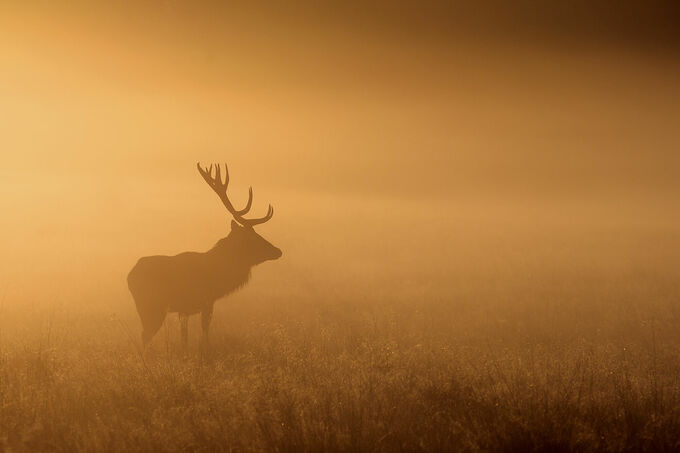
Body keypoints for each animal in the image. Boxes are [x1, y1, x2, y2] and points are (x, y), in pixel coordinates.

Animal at [127, 163, 282, 348]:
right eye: (252, 238)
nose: (278, 251)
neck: (217, 274)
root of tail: (129, 277)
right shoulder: (206, 300)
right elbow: (204, 332)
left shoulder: (185, 309)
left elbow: (184, 337)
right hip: (151, 306)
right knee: (145, 336)